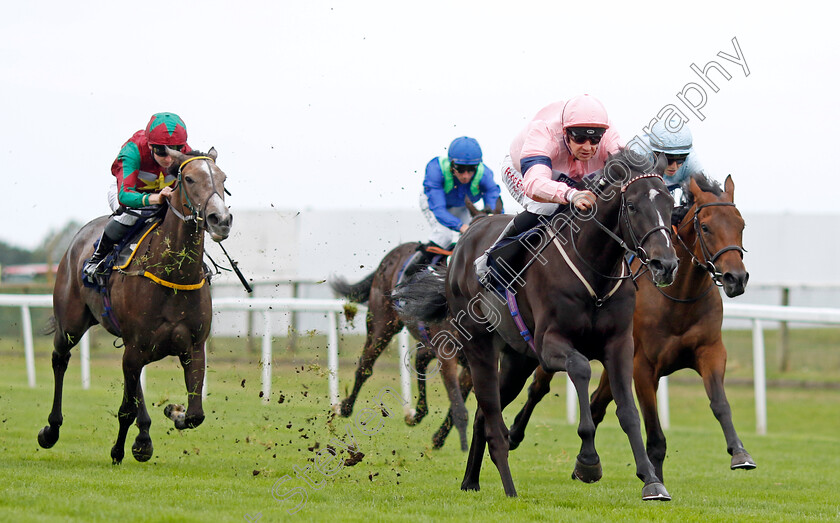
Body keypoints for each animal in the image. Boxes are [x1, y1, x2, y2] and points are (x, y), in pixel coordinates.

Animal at [38, 147, 231, 462]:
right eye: (190, 179)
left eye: (224, 179)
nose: (221, 219)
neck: (174, 275)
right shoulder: (136, 346)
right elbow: (125, 409)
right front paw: (117, 450)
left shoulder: (192, 347)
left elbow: (195, 414)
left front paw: (173, 411)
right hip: (71, 324)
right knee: (60, 359)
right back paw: (51, 429)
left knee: (135, 380)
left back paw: (143, 437)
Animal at [326, 196, 498, 450]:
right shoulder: (447, 353)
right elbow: (459, 407)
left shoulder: (472, 360)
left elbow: (461, 401)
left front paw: (439, 437)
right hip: (382, 323)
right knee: (366, 365)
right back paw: (346, 407)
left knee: (419, 358)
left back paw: (417, 414)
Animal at [398, 149, 680, 502]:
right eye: (632, 206)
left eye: (670, 203)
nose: (665, 264)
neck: (595, 275)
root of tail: (470, 231)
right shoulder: (550, 345)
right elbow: (580, 369)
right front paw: (588, 461)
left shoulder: (619, 345)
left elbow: (628, 411)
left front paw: (651, 481)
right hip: (481, 347)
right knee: (490, 414)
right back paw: (496, 483)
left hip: (518, 360)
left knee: (482, 414)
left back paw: (471, 480)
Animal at [508, 172, 756, 484]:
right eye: (706, 227)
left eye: (741, 225)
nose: (736, 278)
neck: (678, 299)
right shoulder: (643, 367)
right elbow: (656, 438)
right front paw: (654, 477)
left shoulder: (710, 351)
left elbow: (720, 404)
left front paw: (740, 452)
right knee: (539, 388)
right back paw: (514, 434)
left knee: (596, 403)